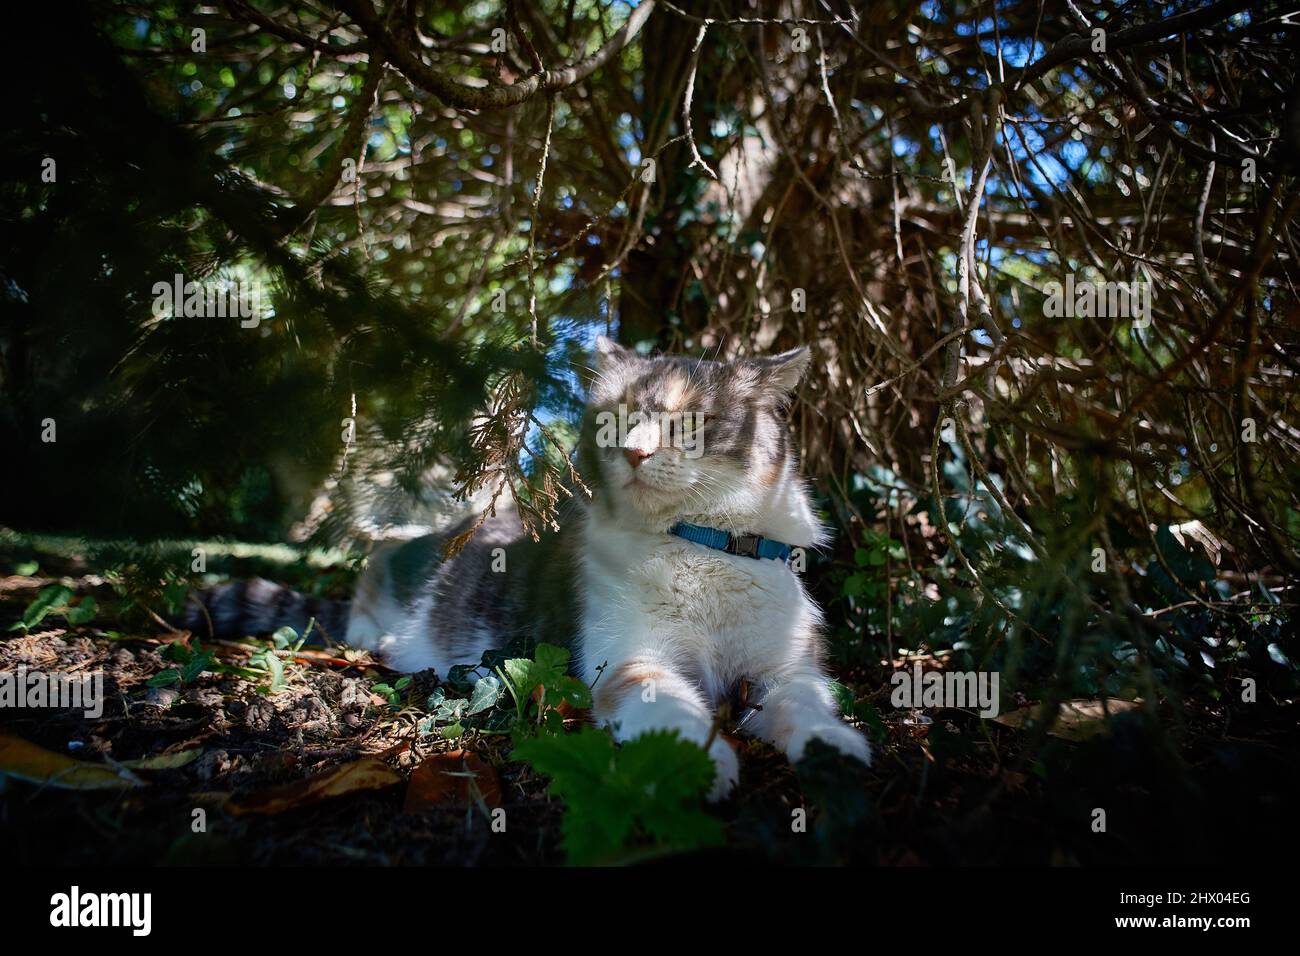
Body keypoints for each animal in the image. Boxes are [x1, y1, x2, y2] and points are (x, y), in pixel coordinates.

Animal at [185, 338, 873, 801]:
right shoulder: (632, 661)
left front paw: (837, 751)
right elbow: (673, 713)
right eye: (617, 418)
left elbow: (810, 707)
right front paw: (689, 767)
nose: (635, 450)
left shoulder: (788, 668)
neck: (699, 548)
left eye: (692, 422)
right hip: (397, 565)